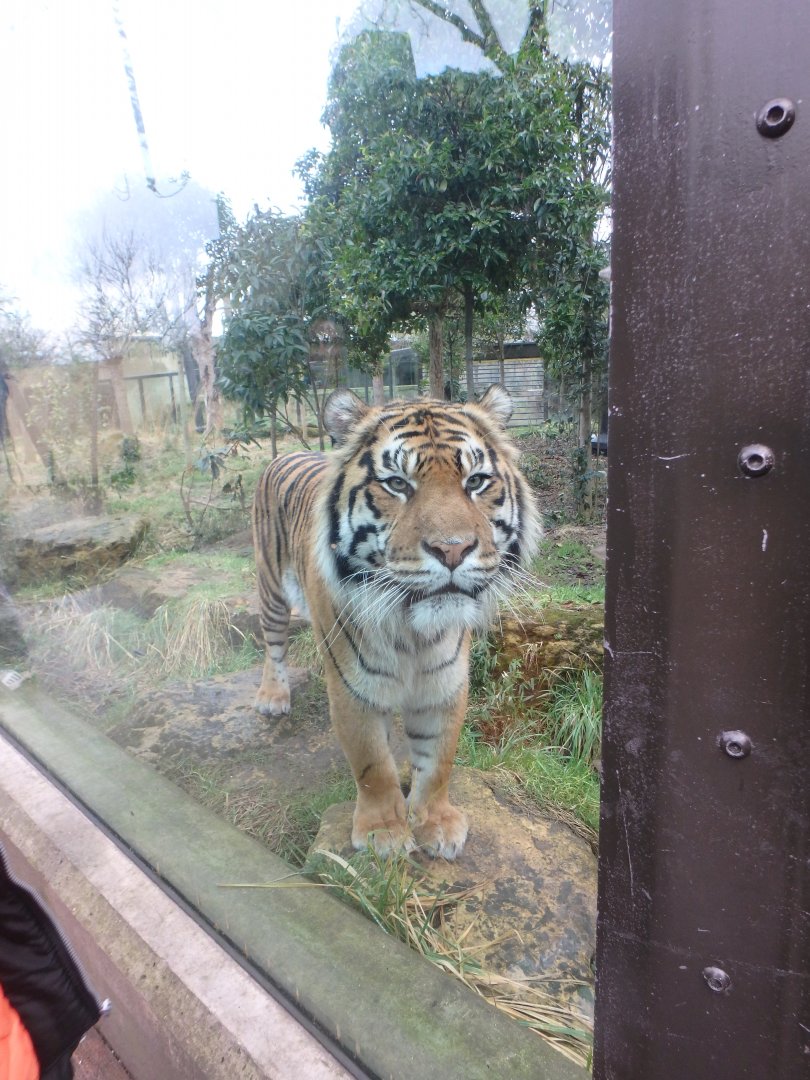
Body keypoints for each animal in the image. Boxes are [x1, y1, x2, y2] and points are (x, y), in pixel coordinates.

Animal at [252, 385, 540, 860]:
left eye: (475, 481)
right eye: (397, 484)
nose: (453, 549)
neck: (413, 631)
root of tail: (285, 453)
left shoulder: (445, 685)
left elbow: (438, 761)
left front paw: (435, 824)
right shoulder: (354, 689)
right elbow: (374, 766)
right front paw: (383, 833)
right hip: (271, 588)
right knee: (272, 644)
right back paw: (272, 696)